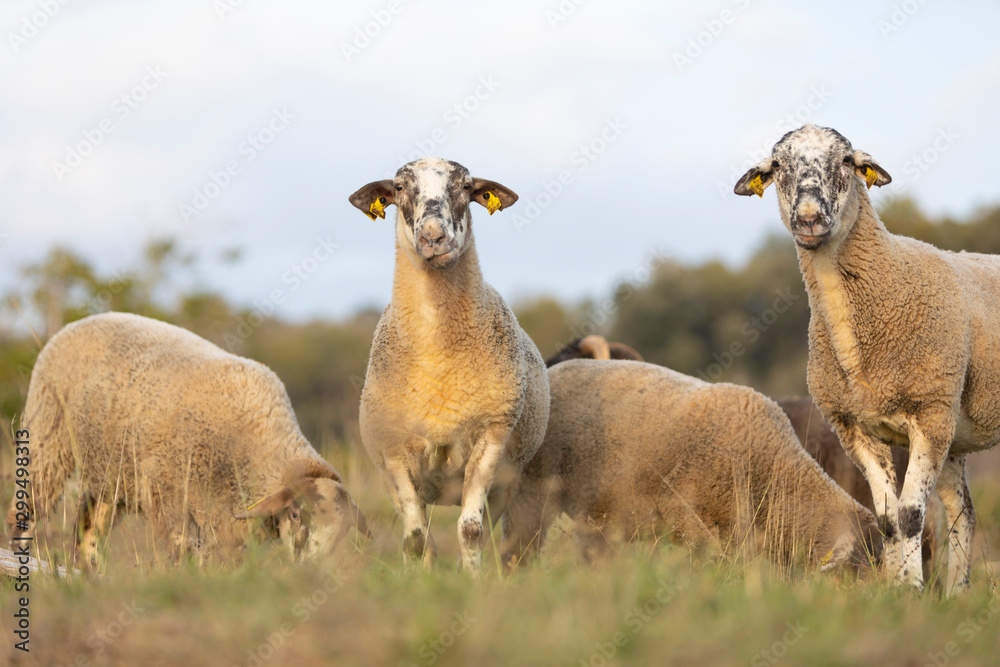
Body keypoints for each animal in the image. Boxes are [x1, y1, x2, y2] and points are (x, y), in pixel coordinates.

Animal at [4, 312, 370, 567]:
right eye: (296, 514)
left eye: (343, 533)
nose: (309, 571)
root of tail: (78, 322)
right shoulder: (167, 491)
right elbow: (179, 547)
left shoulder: (222, 514)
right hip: (47, 439)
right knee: (27, 509)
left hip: (111, 475)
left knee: (89, 528)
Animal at [348, 157, 549, 573]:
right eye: (398, 188)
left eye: (466, 187)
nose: (433, 237)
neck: (438, 356)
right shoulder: (395, 453)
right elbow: (414, 539)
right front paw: (418, 581)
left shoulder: (490, 438)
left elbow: (471, 531)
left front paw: (471, 579)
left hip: (508, 480)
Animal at [502, 359, 880, 572]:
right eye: (860, 568)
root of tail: (551, 370)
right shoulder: (685, 513)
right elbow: (712, 562)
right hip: (529, 492)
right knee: (520, 545)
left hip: (596, 515)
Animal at [734, 123, 996, 594]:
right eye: (778, 165)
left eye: (845, 161)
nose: (809, 219)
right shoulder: (857, 427)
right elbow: (888, 519)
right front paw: (894, 589)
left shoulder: (928, 414)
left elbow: (910, 514)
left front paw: (911, 591)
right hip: (955, 430)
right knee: (962, 511)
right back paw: (957, 595)